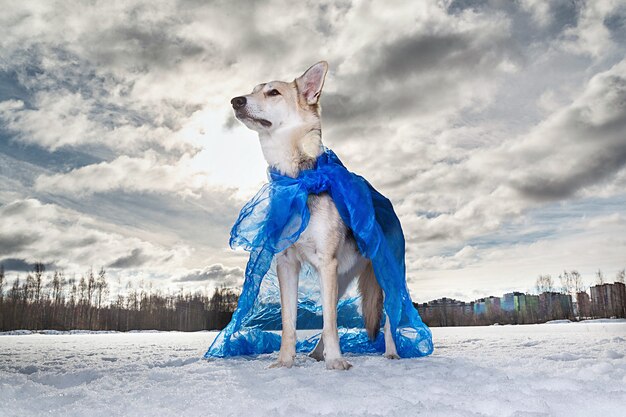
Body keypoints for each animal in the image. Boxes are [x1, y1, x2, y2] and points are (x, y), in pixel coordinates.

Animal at [228, 61, 394, 368]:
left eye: (273, 92)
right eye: (252, 90)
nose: (236, 101)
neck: (297, 180)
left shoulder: (325, 263)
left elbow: (330, 323)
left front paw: (336, 362)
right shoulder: (287, 264)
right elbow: (290, 323)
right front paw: (284, 362)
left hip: (383, 276)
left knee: (391, 317)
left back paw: (392, 352)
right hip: (339, 278)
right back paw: (318, 353)